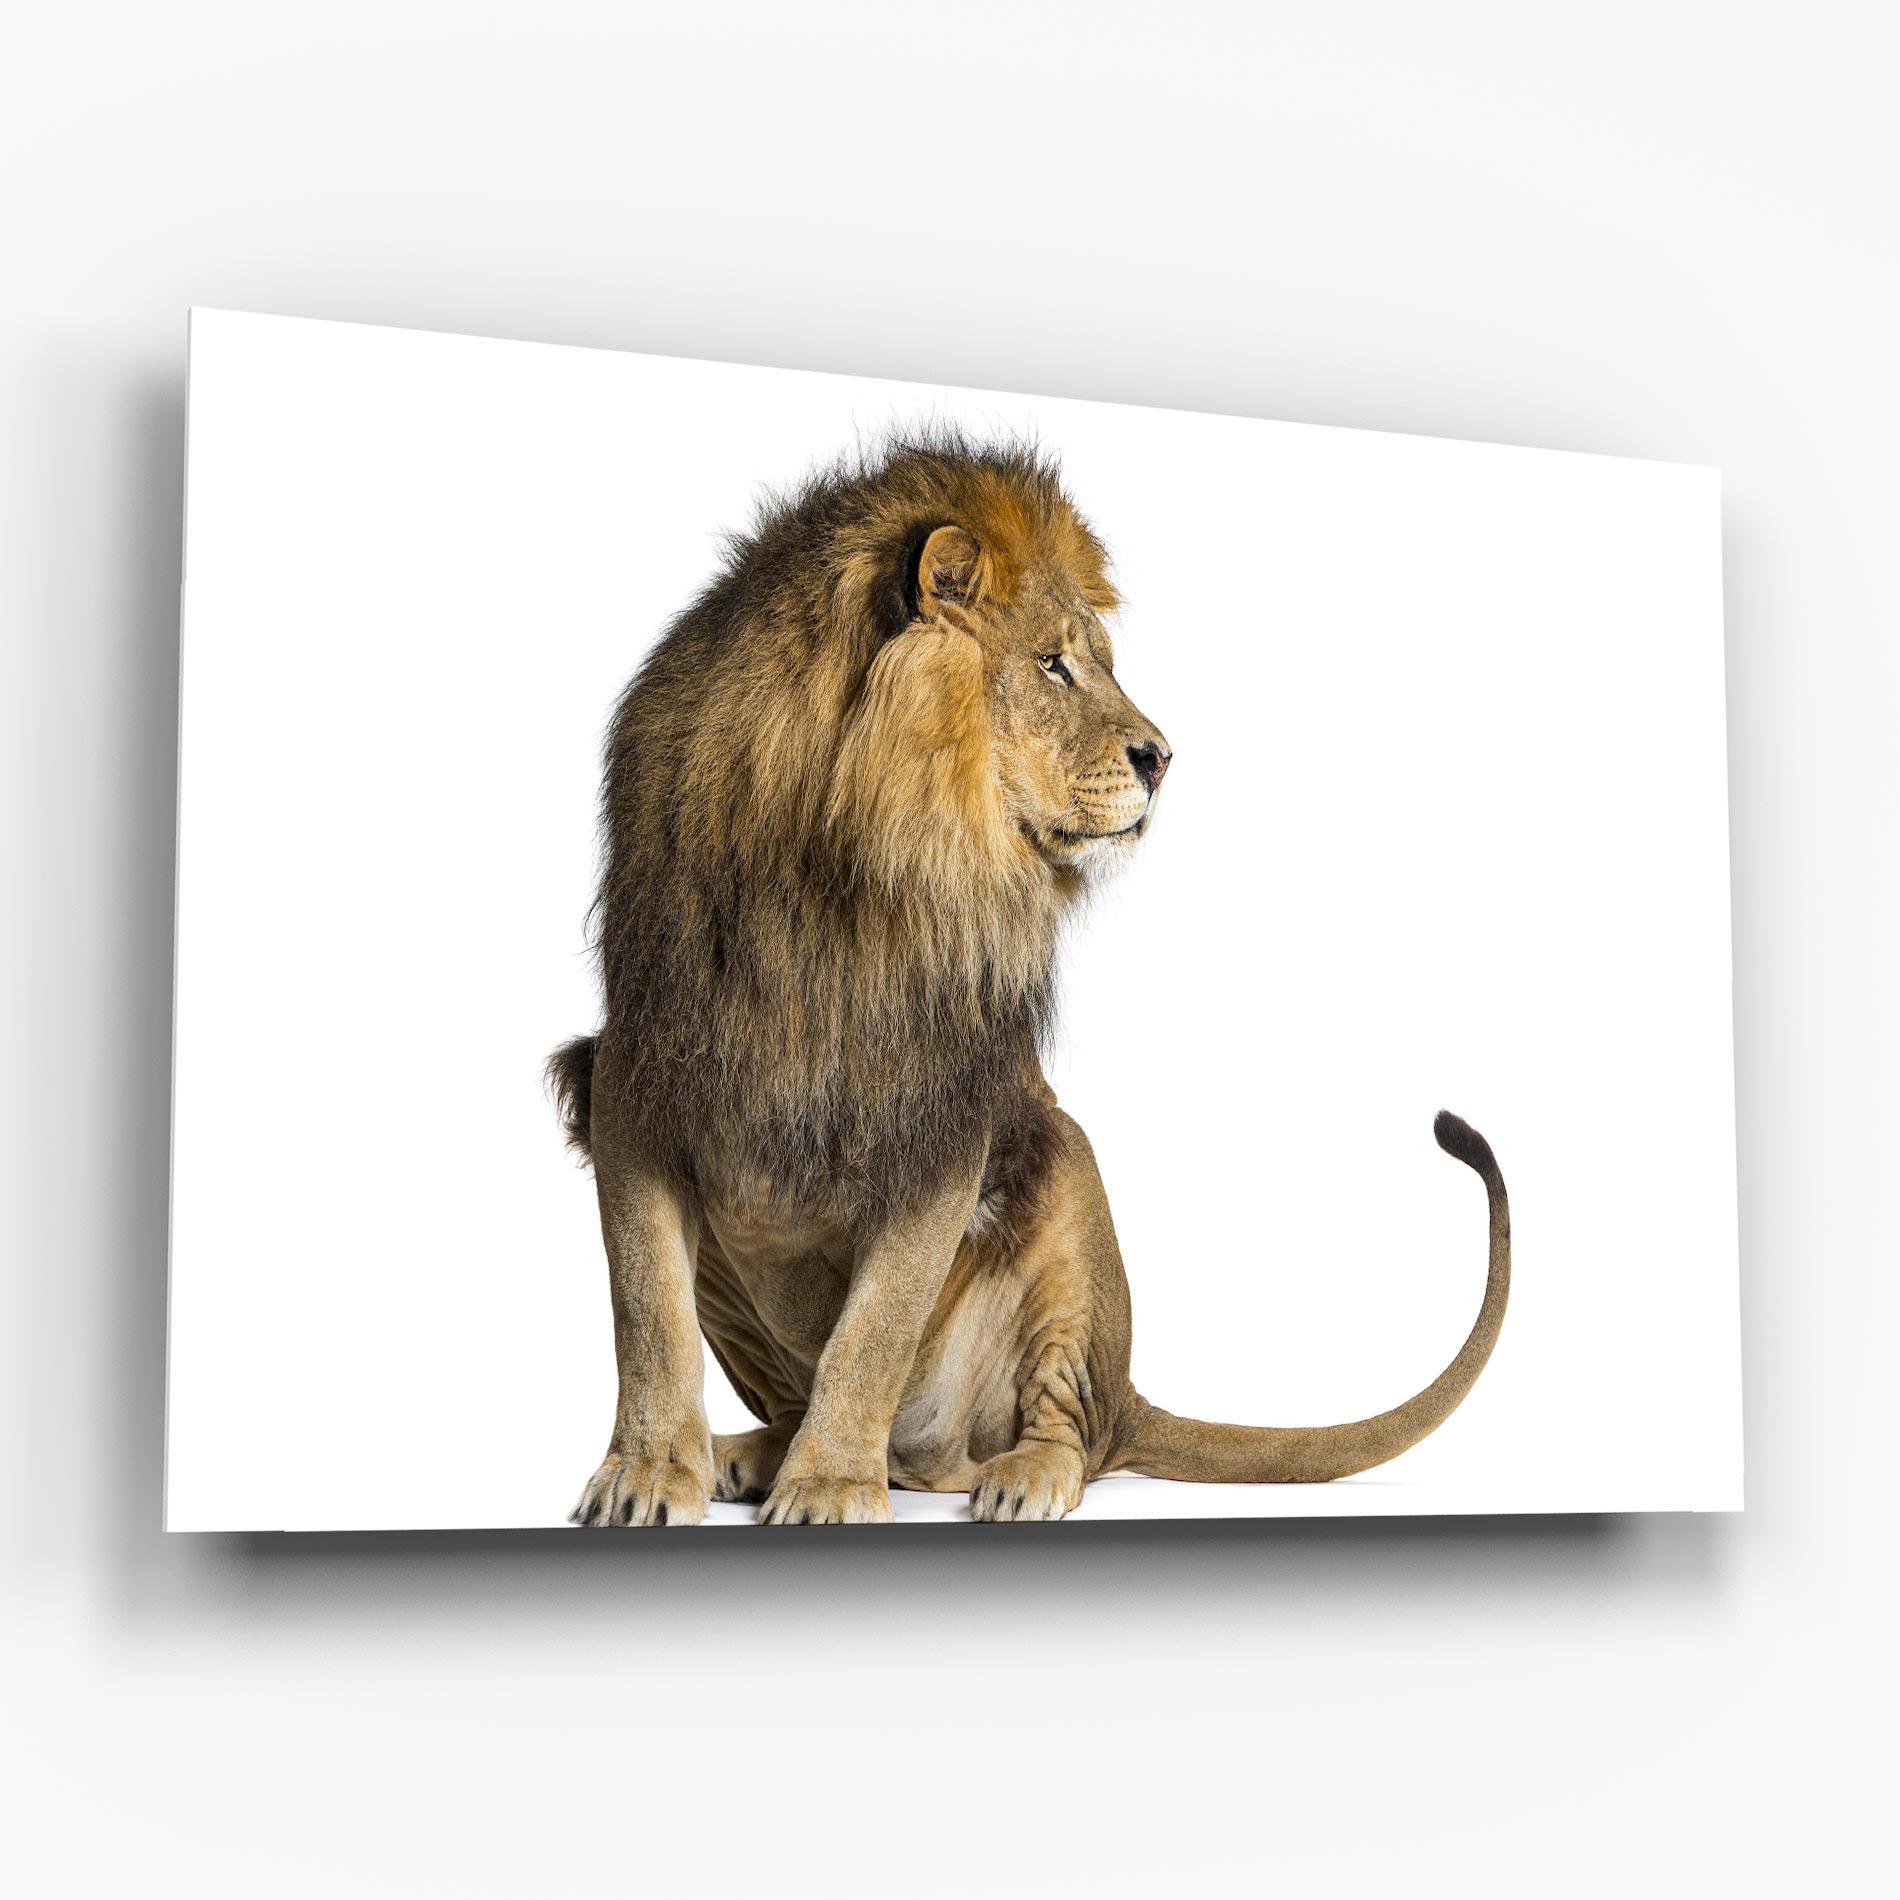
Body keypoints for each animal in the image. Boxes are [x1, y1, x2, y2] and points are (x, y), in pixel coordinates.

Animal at [550, 431, 1510, 1526]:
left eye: (1099, 664)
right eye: (1053, 664)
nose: (1164, 758)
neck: (834, 871)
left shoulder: (943, 1112)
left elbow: (872, 1332)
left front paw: (829, 1484)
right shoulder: (633, 1073)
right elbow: (646, 1308)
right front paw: (647, 1469)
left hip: (1062, 1173)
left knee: (1068, 1427)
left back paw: (1014, 1474)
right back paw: (749, 1454)